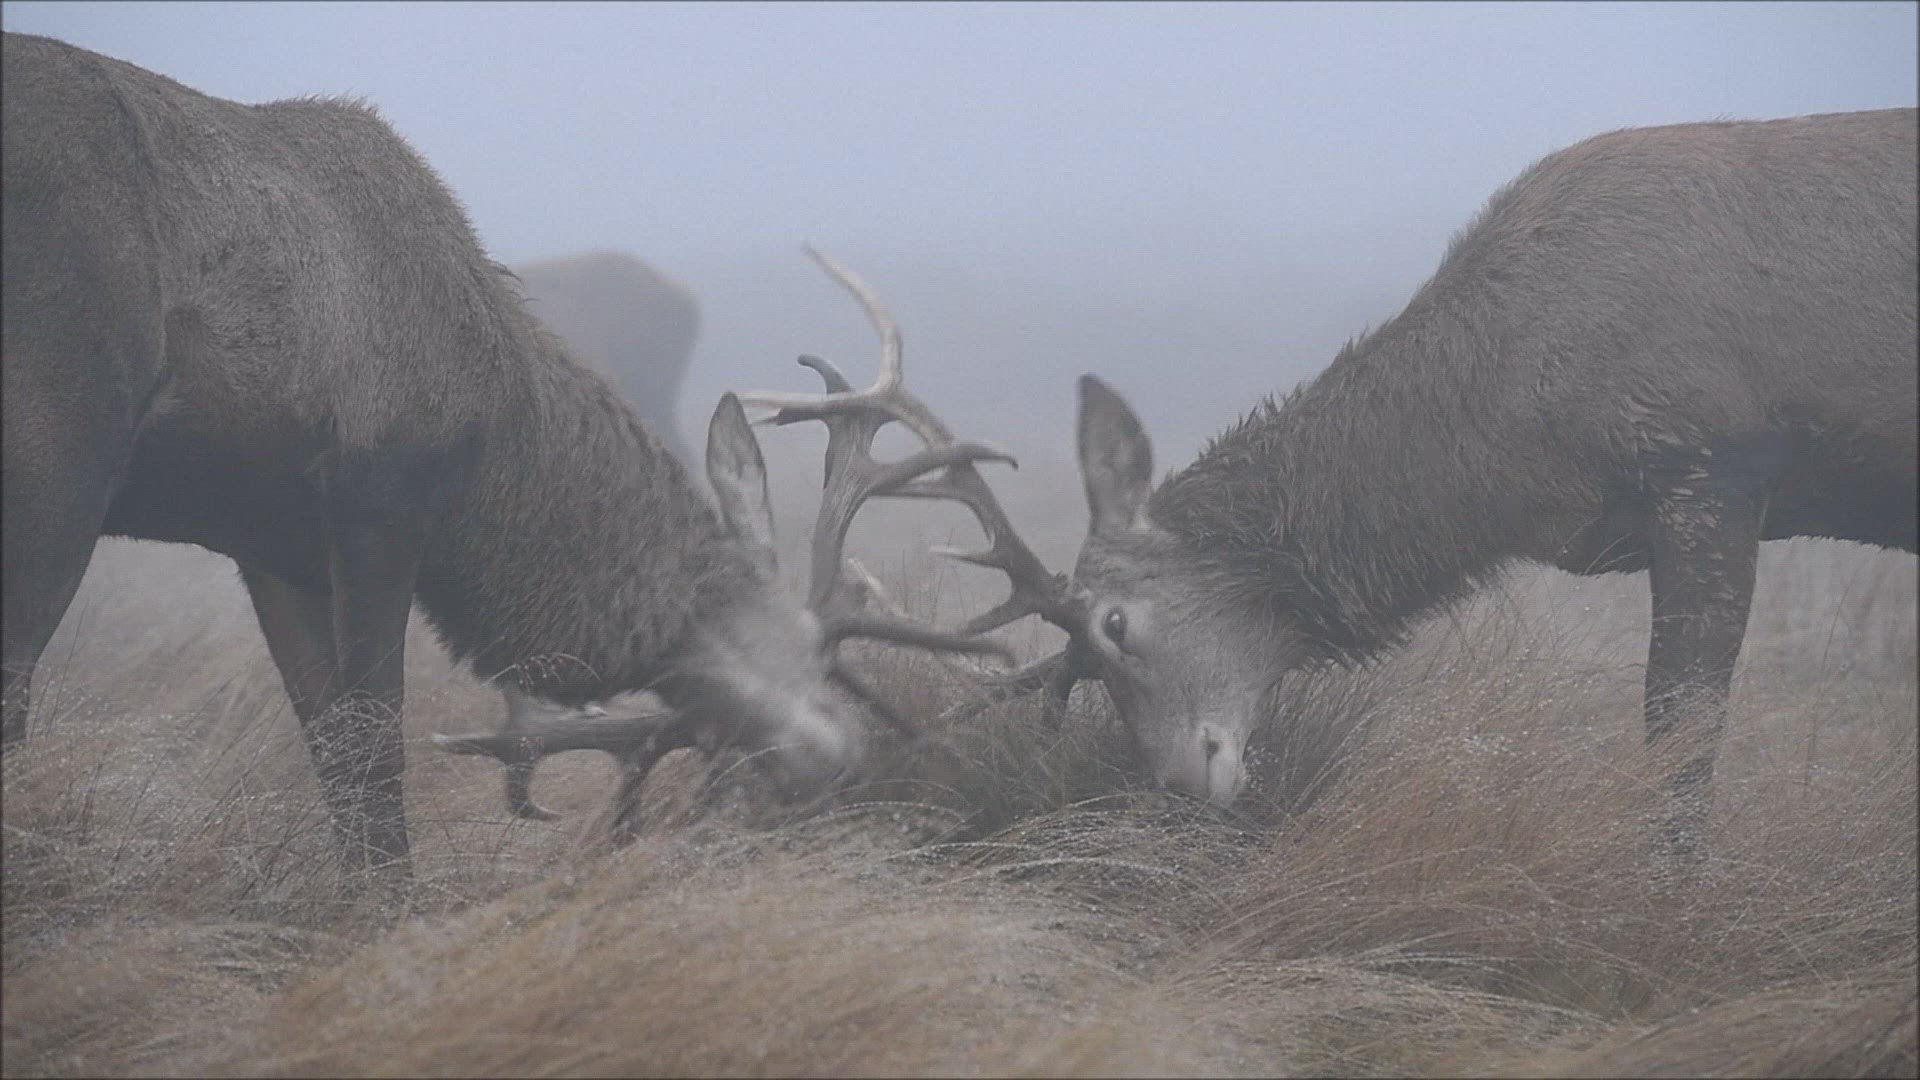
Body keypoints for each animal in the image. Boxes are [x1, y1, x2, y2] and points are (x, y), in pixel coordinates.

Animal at [0, 32, 1001, 877]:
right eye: (809, 655)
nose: (860, 761)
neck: (498, 459)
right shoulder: (379, 502)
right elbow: (374, 748)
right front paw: (388, 911)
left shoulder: (268, 540)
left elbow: (328, 744)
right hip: (59, 449)